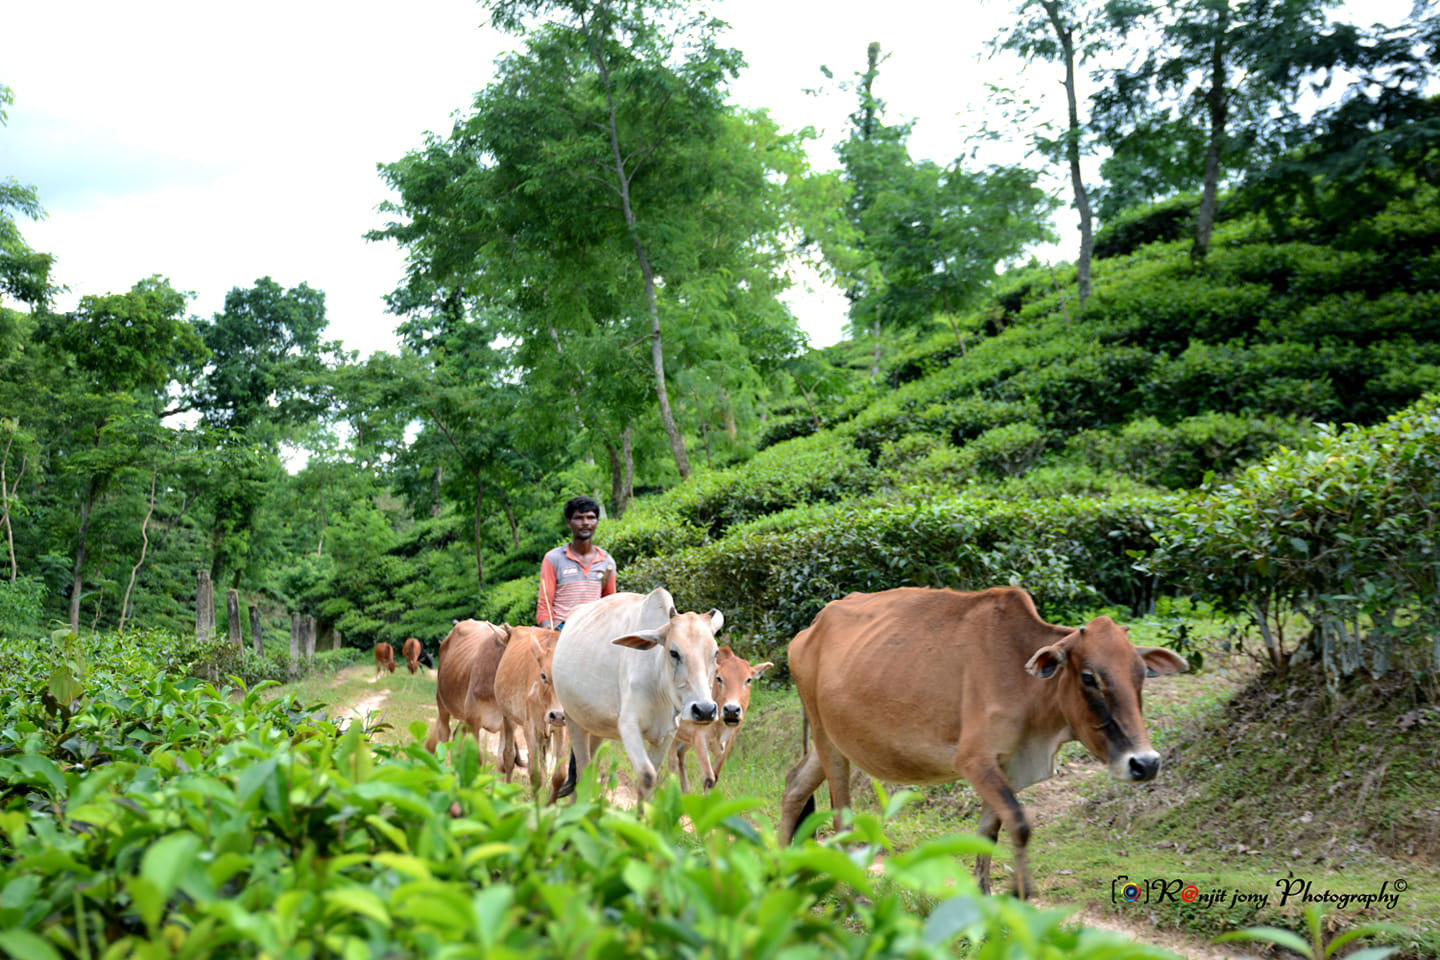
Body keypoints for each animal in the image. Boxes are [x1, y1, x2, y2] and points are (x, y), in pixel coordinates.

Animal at [492, 624, 564, 805]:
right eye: (543, 675)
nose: (557, 715)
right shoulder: (530, 728)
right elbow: (536, 775)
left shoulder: (564, 728)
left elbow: (559, 775)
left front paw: (550, 807)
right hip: (508, 718)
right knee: (509, 757)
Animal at [676, 644, 777, 794]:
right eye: (719, 678)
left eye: (748, 679)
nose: (731, 710)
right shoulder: (700, 737)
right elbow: (708, 778)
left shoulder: (730, 740)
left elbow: (714, 779)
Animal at [783, 587, 1186, 903]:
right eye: (1089, 677)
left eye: (1140, 674)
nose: (1146, 763)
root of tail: (813, 627)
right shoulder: (974, 759)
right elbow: (1019, 823)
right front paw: (1018, 893)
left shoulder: (1008, 765)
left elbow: (989, 833)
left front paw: (986, 900)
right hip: (826, 738)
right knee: (841, 817)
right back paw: (854, 897)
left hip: (832, 739)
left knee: (794, 785)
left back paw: (779, 868)